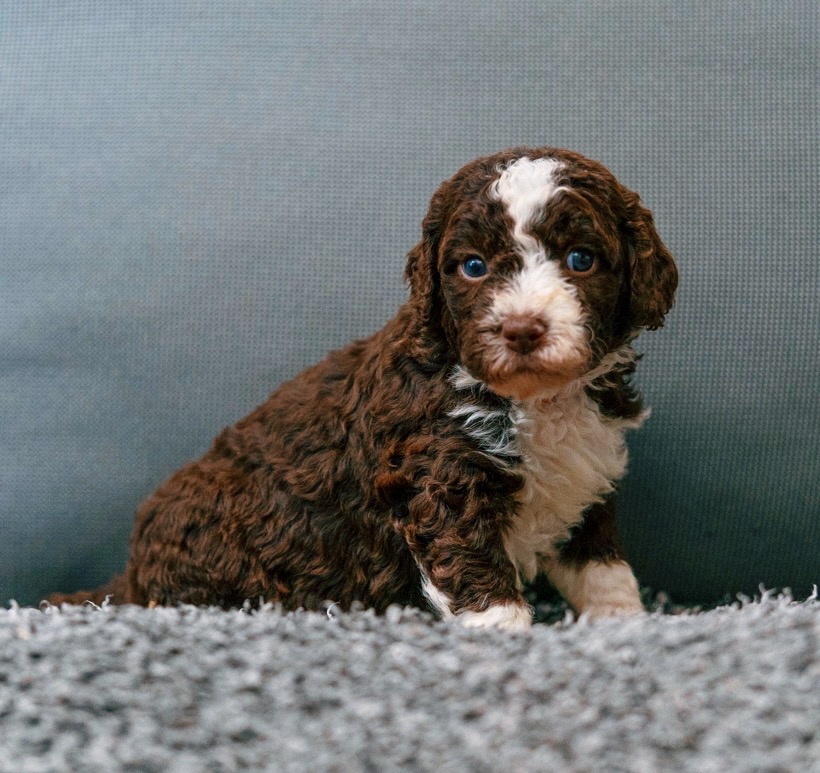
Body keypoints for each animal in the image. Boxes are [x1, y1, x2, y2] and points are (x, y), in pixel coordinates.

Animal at [49, 148, 680, 632]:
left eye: (581, 259)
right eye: (473, 267)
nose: (522, 329)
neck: (535, 400)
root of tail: (132, 574)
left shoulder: (584, 474)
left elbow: (604, 568)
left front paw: (626, 625)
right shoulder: (440, 476)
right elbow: (479, 575)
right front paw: (506, 639)